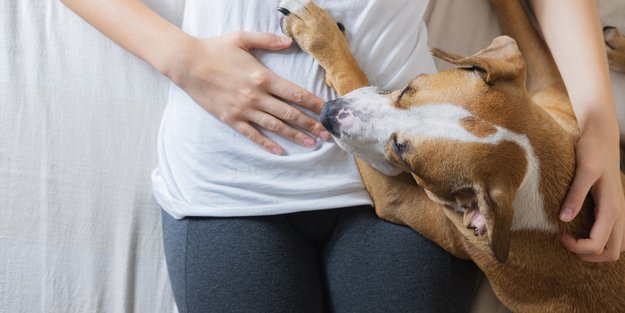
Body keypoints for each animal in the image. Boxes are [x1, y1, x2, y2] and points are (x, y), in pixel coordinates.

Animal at [278, 0, 624, 312]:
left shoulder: (401, 201)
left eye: (403, 155)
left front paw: (316, 32)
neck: (537, 177)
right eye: (409, 87)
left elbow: (353, 78)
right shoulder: (551, 97)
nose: (329, 113)